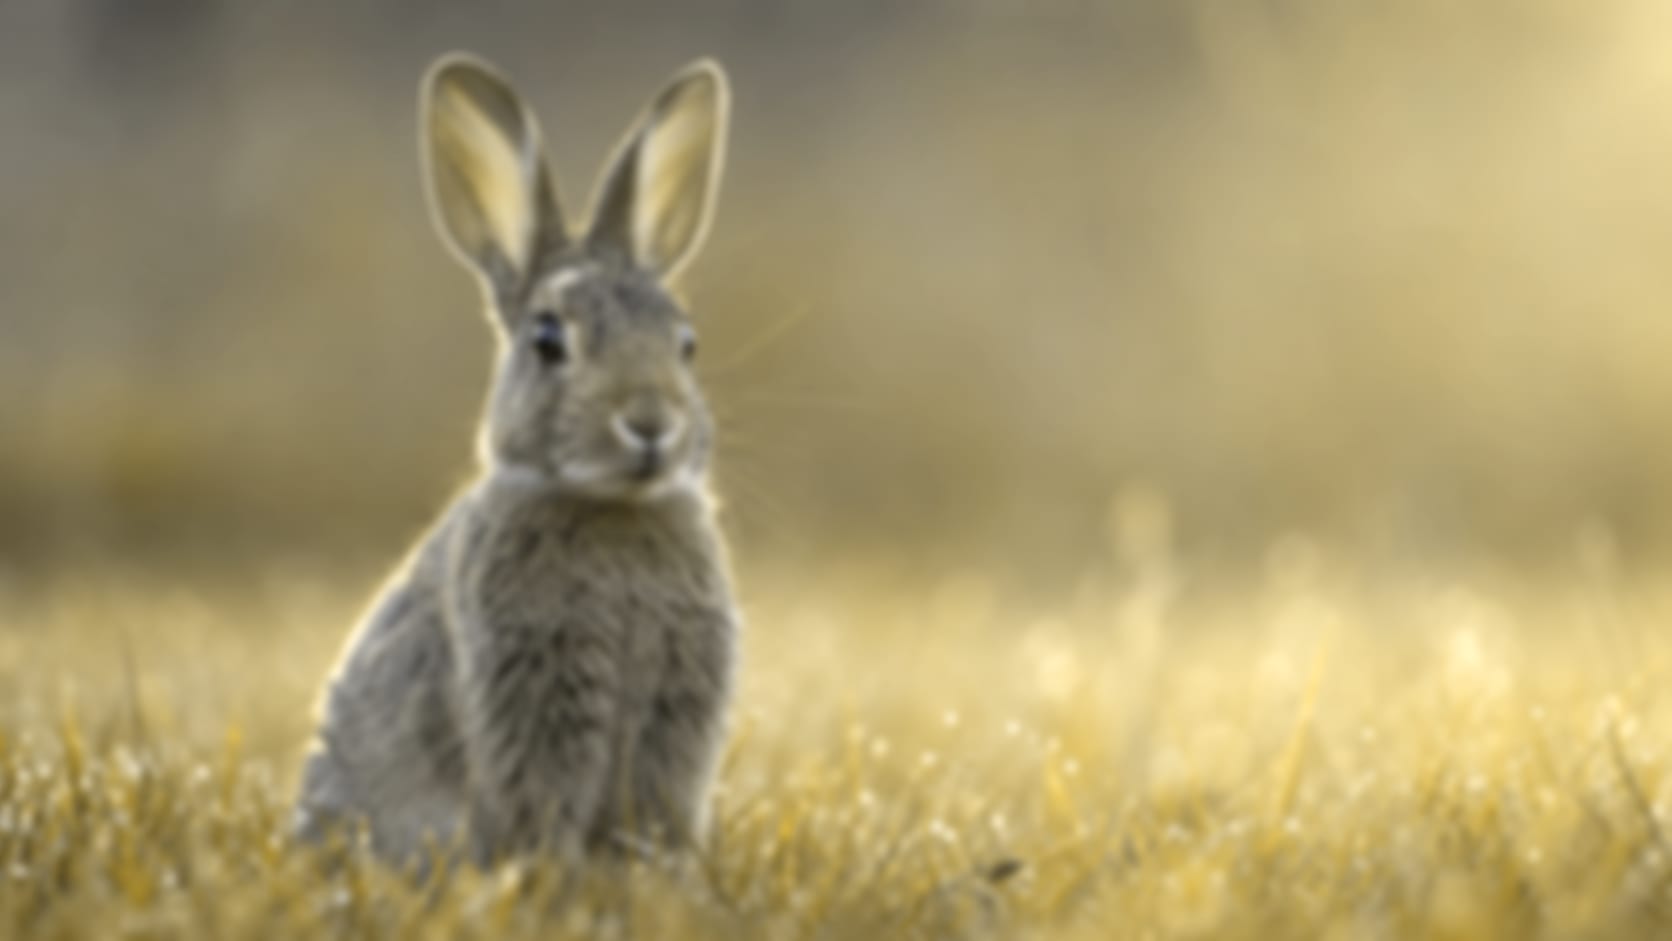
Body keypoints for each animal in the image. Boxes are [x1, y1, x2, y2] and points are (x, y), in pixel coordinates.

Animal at [291, 52, 740, 868]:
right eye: (547, 341)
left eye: (687, 344)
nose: (651, 424)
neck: (613, 507)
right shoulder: (533, 698)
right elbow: (543, 805)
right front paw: (550, 876)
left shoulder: (672, 724)